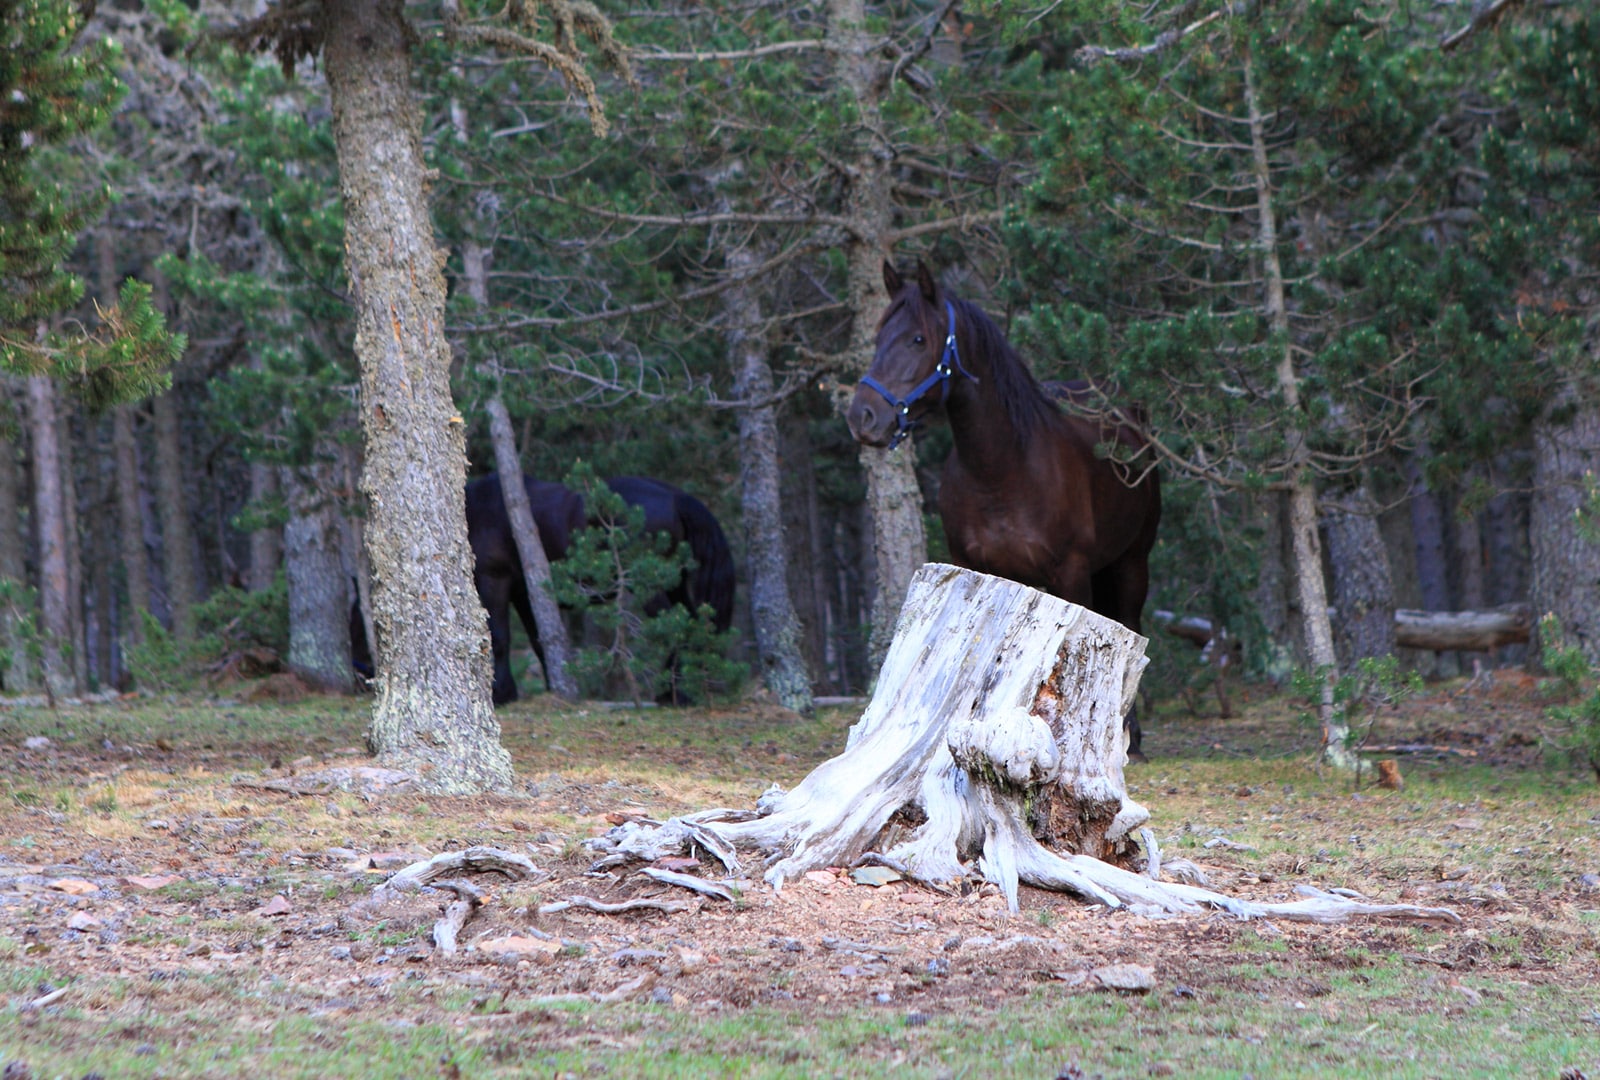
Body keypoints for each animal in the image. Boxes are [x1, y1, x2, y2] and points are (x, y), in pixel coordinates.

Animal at [467, 470, 732, 704]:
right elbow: (539, 641)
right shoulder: (524, 594)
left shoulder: (494, 580)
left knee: (676, 628)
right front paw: (555, 686)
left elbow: (499, 638)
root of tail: (675, 496)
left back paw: (676, 694)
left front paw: (502, 694)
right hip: (674, 584)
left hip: (651, 587)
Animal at [851, 264, 1164, 761]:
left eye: (918, 339)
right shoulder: (979, 570)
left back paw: (1128, 736)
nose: (862, 415)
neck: (1003, 469)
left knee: (1128, 627)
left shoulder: (1071, 573)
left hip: (1133, 562)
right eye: (879, 335)